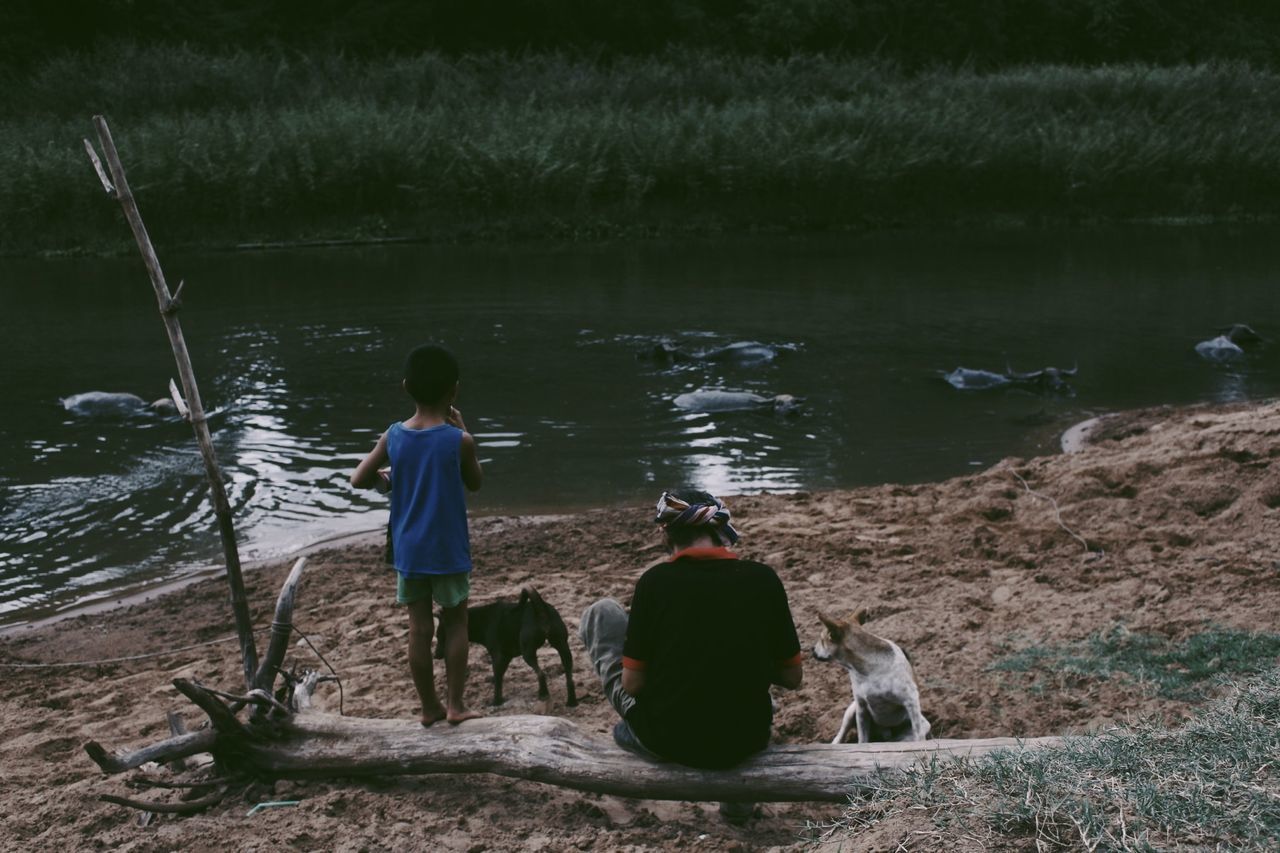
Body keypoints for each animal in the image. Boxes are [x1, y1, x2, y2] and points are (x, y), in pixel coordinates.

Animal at [440, 584, 581, 701]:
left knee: (541, 674)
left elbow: (498, 680)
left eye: (440, 635)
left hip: (528, 652)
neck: (482, 619)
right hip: (562, 647)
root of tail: (540, 609)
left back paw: (543, 694)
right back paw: (571, 701)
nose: (437, 654)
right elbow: (499, 676)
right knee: (569, 678)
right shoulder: (505, 657)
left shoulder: (498, 656)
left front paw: (496, 701)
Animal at [819, 607, 931, 742]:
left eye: (821, 640)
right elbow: (862, 739)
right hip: (851, 711)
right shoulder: (861, 707)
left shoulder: (911, 701)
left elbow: (918, 734)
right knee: (840, 736)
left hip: (921, 725)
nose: (811, 650)